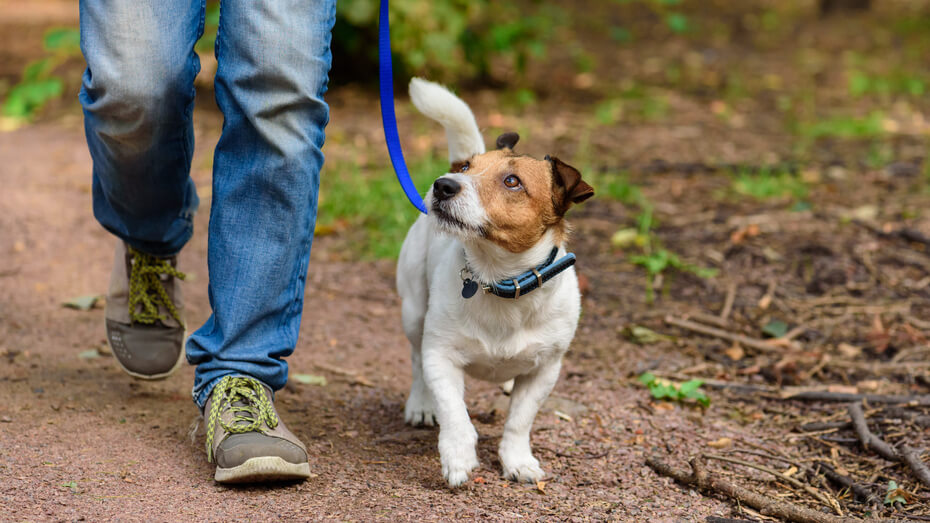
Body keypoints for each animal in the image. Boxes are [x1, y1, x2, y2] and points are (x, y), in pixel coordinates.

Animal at [396, 78, 592, 488]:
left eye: (512, 181)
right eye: (467, 167)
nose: (443, 184)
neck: (498, 279)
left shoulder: (545, 370)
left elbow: (519, 421)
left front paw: (518, 461)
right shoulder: (441, 356)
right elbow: (455, 412)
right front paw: (457, 456)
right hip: (413, 311)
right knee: (416, 362)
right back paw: (421, 404)